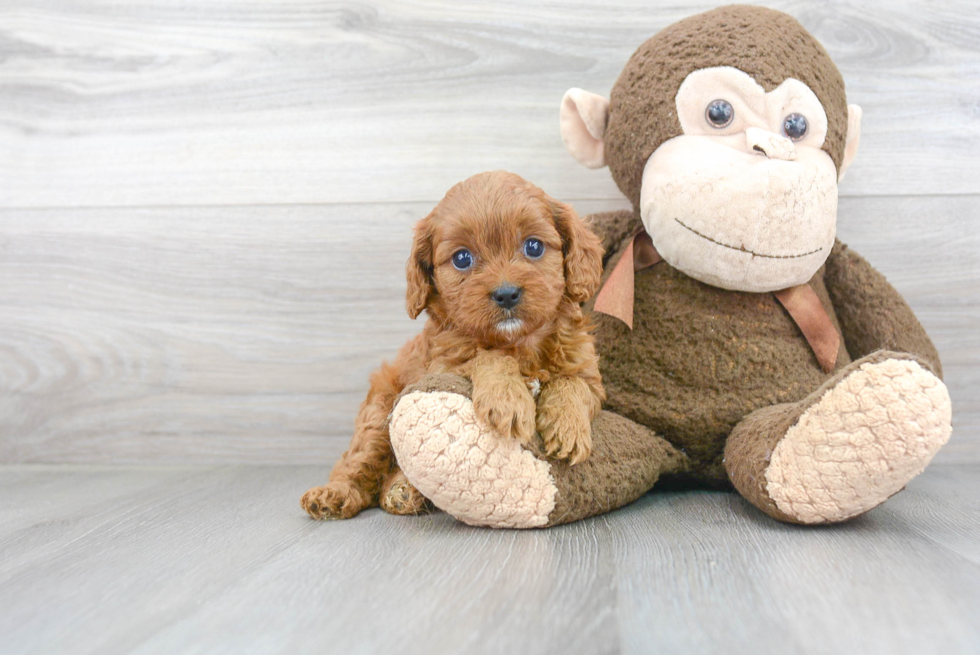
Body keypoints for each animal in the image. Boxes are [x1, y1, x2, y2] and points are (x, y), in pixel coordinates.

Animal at [300, 172, 604, 520]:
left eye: (534, 246)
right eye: (462, 258)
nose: (507, 293)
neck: (519, 341)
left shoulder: (589, 375)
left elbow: (572, 385)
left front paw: (568, 427)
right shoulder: (446, 364)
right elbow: (488, 358)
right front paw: (508, 399)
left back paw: (401, 491)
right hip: (378, 414)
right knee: (358, 463)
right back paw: (335, 494)